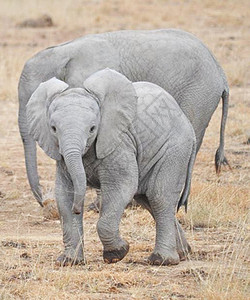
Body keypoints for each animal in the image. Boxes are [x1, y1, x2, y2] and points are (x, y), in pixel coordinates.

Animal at [26, 69, 195, 266]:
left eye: (92, 129)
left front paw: (117, 253)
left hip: (175, 148)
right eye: (53, 128)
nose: (78, 209)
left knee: (159, 196)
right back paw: (184, 253)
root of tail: (188, 124)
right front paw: (69, 261)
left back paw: (161, 260)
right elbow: (64, 194)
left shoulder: (119, 144)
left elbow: (121, 187)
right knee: (147, 199)